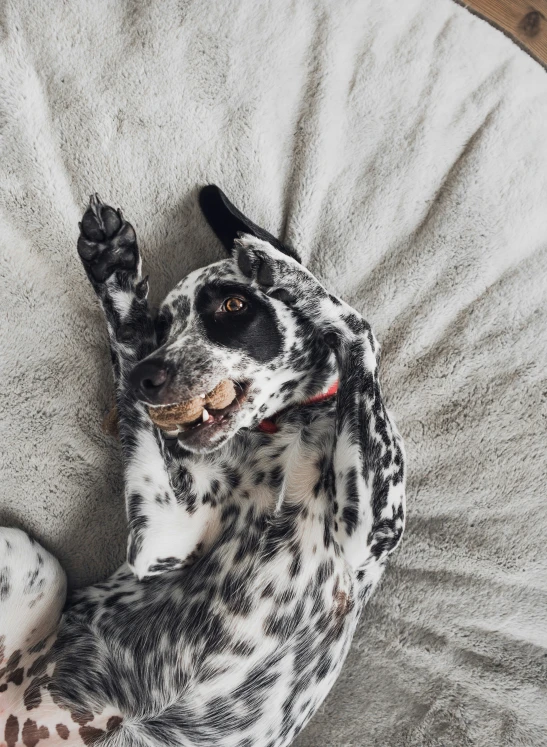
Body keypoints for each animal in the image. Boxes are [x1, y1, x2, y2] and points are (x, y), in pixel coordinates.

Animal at [1, 187, 406, 747]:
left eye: (232, 305)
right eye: (163, 328)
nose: (146, 378)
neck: (286, 429)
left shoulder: (373, 527)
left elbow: (357, 325)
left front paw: (282, 271)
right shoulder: (164, 537)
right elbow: (126, 338)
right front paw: (114, 270)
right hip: (28, 552)